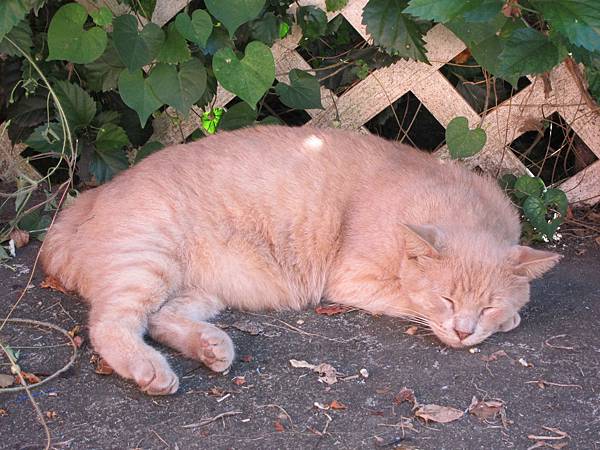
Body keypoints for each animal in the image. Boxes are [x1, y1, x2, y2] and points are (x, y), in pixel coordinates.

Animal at [39, 125, 560, 394]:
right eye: (447, 300)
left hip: (200, 290)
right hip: (148, 263)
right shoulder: (352, 281)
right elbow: (409, 301)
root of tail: (88, 197)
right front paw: (505, 321)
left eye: (485, 304)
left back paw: (211, 347)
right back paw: (151, 370)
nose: (464, 332)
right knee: (111, 325)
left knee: (162, 319)